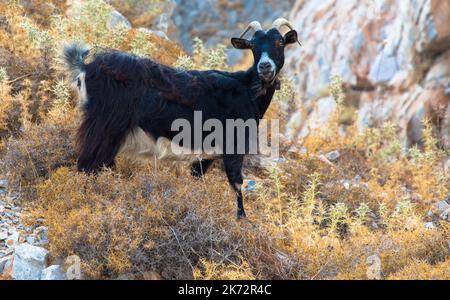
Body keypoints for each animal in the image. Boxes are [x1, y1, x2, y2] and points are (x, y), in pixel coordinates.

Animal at [63, 19, 300, 220]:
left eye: (279, 42)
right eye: (252, 46)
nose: (265, 67)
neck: (246, 88)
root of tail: (85, 68)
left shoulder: (207, 154)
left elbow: (198, 178)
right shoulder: (233, 146)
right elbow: (236, 183)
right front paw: (242, 220)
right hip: (104, 127)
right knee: (88, 165)